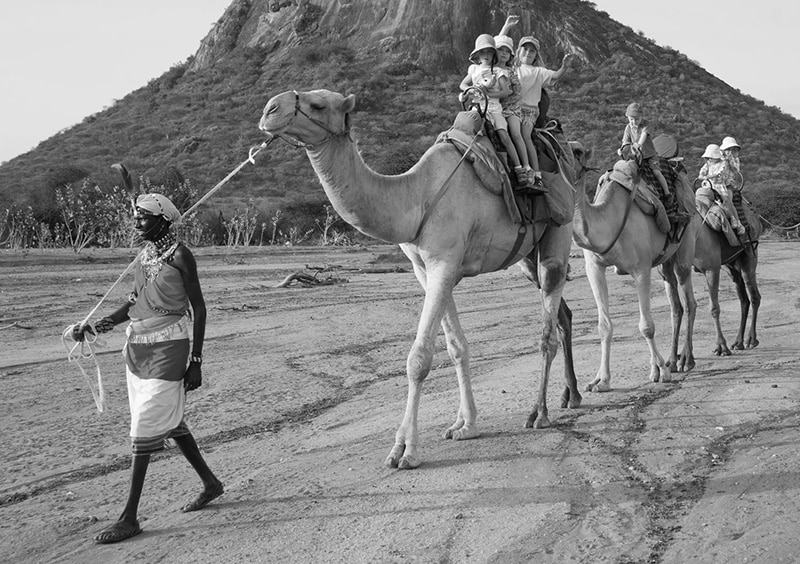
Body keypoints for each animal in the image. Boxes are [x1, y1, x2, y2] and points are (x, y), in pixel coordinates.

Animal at [262, 89, 580, 468]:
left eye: (318, 105)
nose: (269, 110)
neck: (416, 197)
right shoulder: (427, 269)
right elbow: (456, 347)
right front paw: (466, 425)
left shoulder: (444, 261)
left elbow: (418, 359)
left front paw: (404, 450)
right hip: (527, 258)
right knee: (563, 315)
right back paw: (571, 395)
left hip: (558, 234)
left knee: (547, 328)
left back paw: (539, 412)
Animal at [568, 153, 700, 392]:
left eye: (576, 152)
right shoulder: (594, 267)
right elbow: (604, 326)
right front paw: (600, 381)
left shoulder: (641, 268)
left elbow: (646, 326)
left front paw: (661, 372)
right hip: (664, 262)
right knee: (675, 305)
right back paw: (672, 360)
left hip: (687, 241)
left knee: (689, 301)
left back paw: (686, 360)